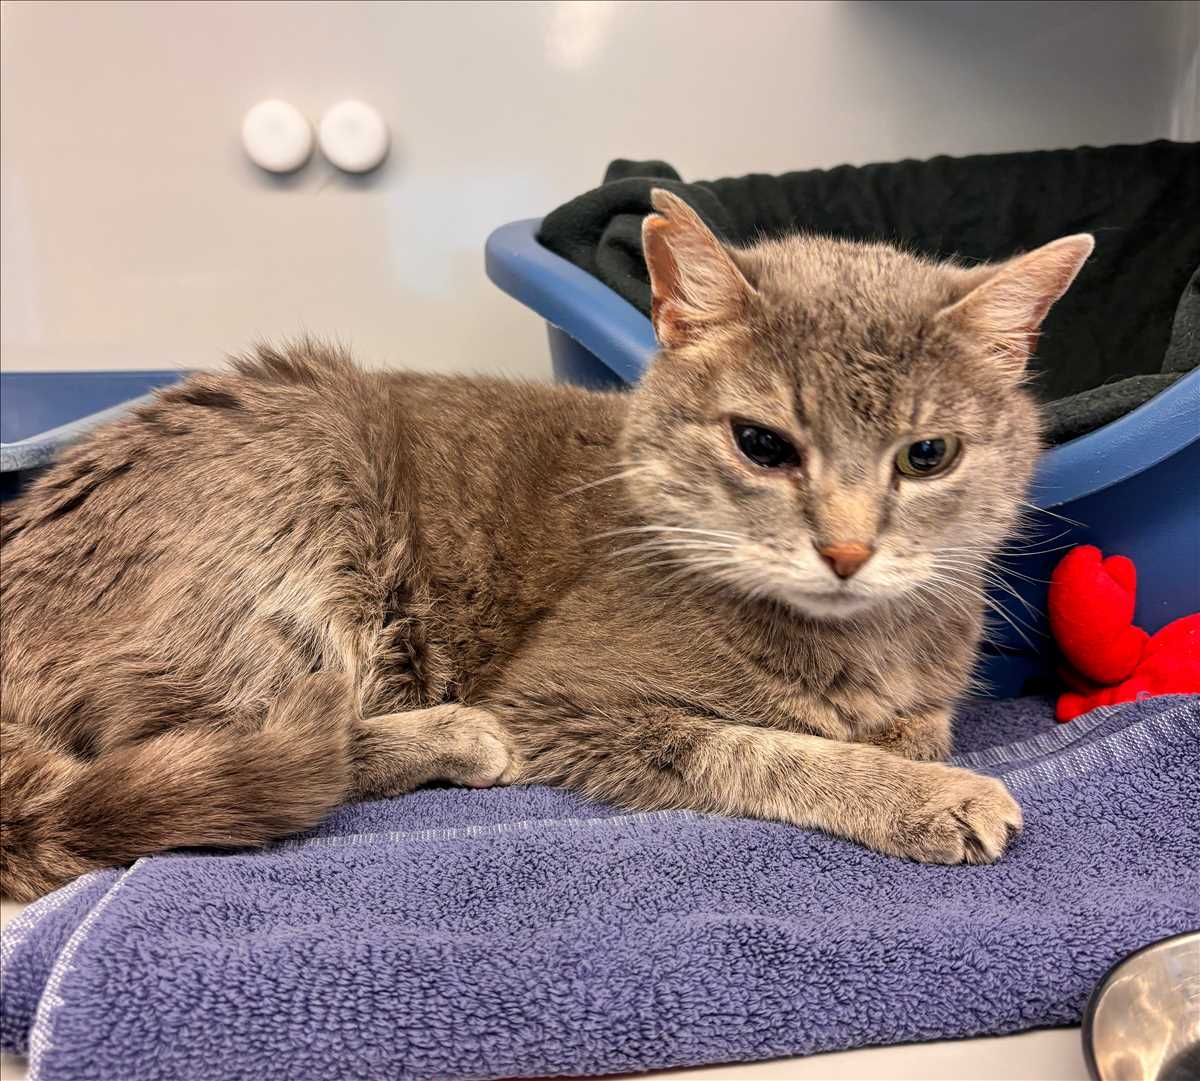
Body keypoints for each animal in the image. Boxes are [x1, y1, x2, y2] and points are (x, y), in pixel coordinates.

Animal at [0, 190, 1093, 900]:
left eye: (928, 454)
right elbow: (759, 747)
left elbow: (915, 722)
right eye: (762, 443)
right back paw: (452, 733)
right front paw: (928, 793)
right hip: (309, 505)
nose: (849, 550)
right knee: (267, 744)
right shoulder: (568, 701)